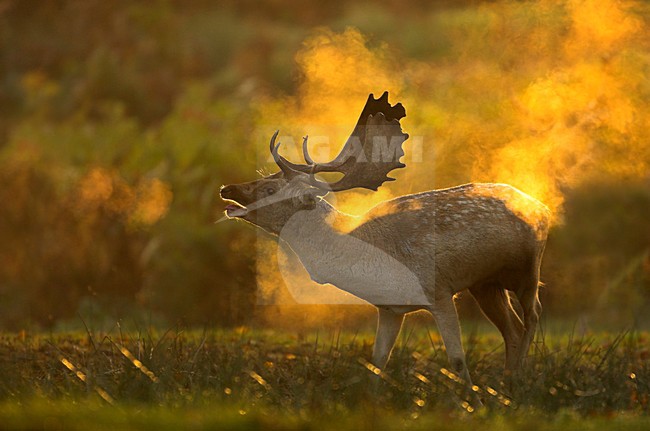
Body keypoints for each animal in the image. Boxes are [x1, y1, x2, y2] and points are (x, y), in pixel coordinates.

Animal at [220, 92, 550, 404]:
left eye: (270, 189)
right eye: (266, 178)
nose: (227, 188)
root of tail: (542, 207)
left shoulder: (438, 291)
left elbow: (456, 359)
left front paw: (473, 404)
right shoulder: (390, 307)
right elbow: (377, 362)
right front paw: (370, 403)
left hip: (527, 268)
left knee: (533, 315)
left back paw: (518, 381)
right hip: (485, 284)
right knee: (513, 328)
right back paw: (507, 385)